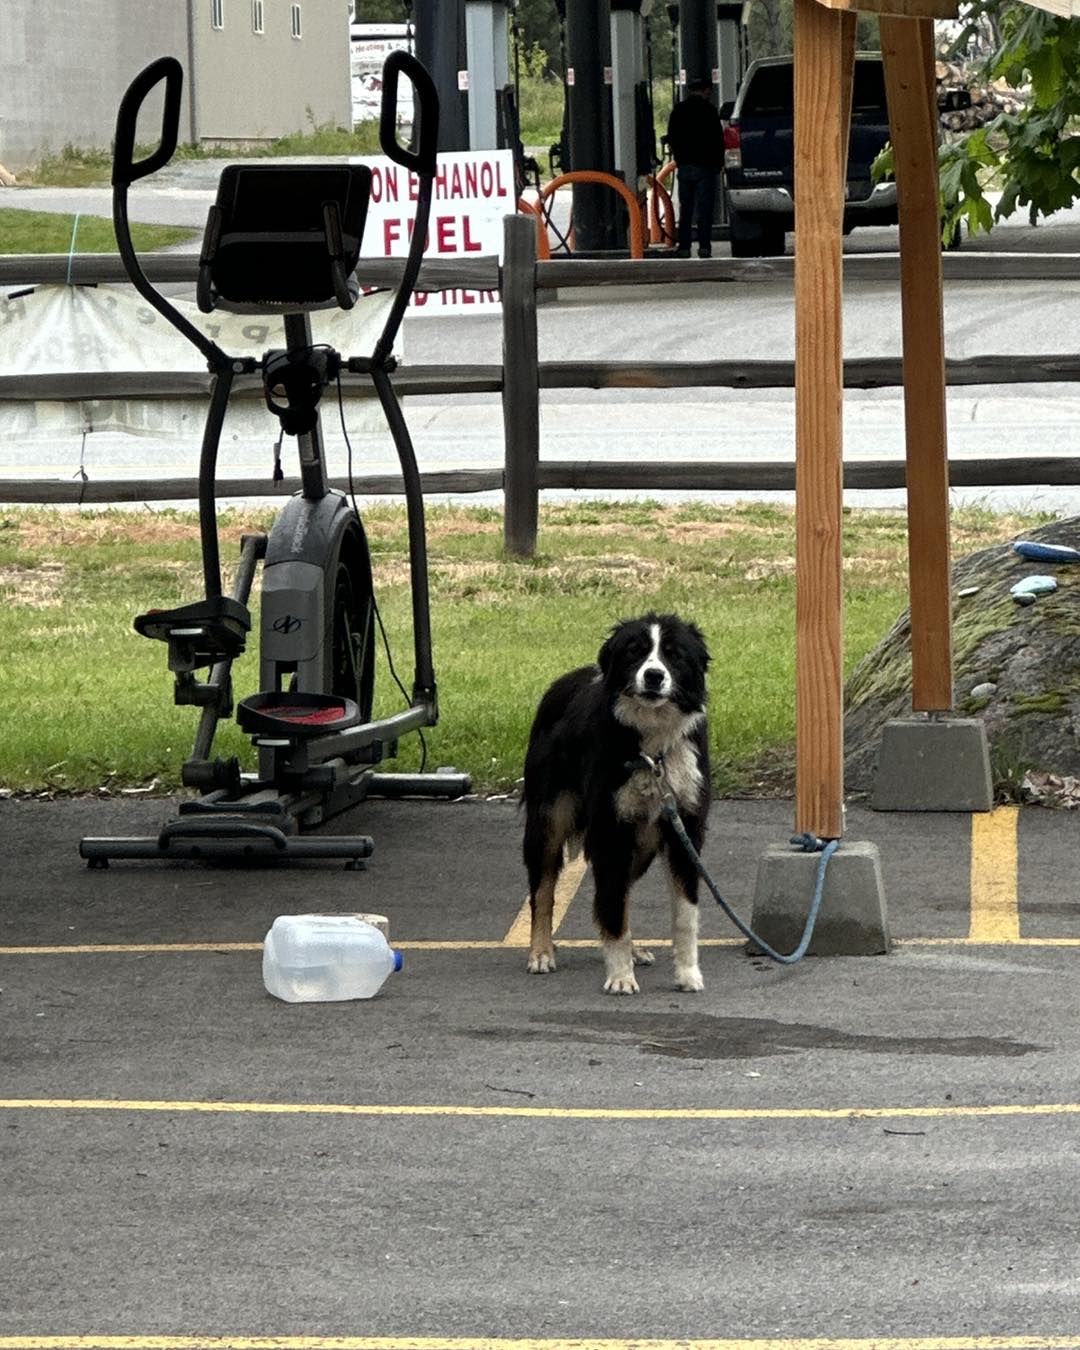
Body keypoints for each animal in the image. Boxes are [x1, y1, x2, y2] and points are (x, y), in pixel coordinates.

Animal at [521, 612, 707, 993]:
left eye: (674, 655)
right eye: (635, 652)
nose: (654, 676)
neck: (652, 750)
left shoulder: (685, 829)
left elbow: (684, 913)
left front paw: (687, 974)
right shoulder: (610, 830)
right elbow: (610, 905)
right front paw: (620, 977)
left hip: (644, 841)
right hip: (548, 820)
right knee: (543, 891)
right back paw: (541, 952)